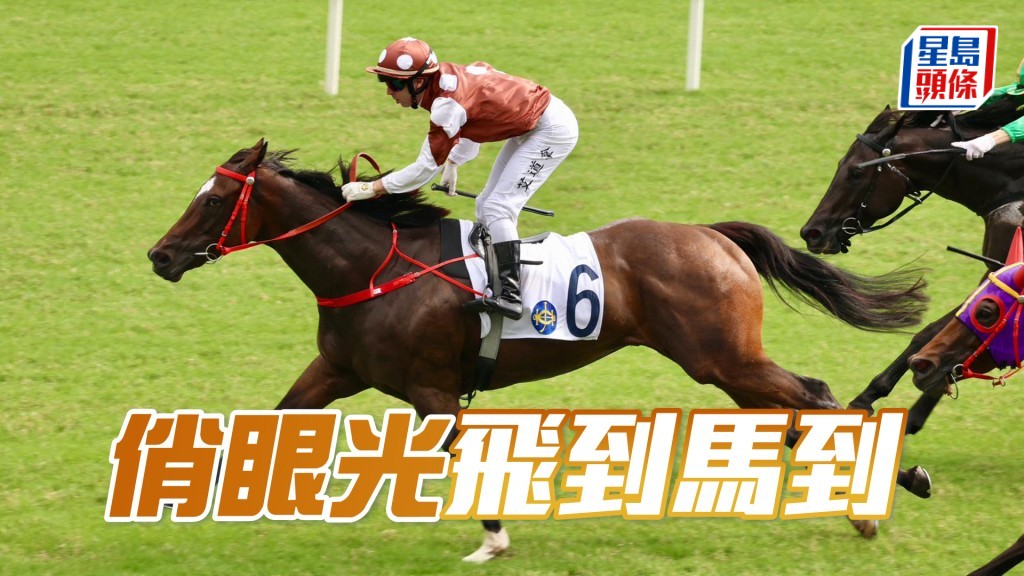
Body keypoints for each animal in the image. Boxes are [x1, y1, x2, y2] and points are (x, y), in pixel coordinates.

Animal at [148, 140, 932, 559]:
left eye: (213, 201)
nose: (160, 256)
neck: (373, 268)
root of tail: (712, 234)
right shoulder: (338, 370)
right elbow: (273, 420)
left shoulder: (432, 392)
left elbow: (466, 461)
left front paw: (494, 539)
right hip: (724, 365)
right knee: (794, 411)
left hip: (722, 358)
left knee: (816, 396)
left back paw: (875, 501)